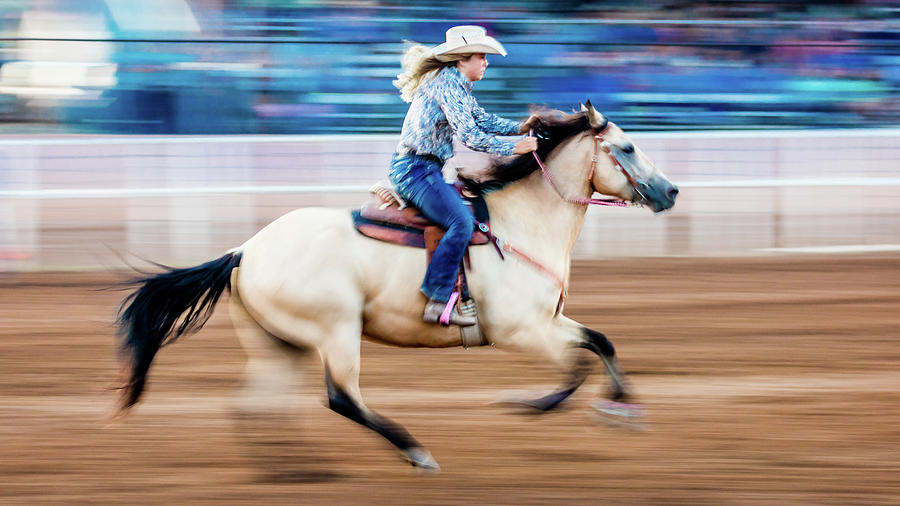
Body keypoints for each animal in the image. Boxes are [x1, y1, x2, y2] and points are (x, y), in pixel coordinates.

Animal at [118, 103, 684, 470]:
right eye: (628, 147)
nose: (671, 191)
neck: (520, 224)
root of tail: (244, 251)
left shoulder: (551, 321)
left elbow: (600, 343)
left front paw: (622, 409)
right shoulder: (520, 331)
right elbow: (574, 368)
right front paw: (529, 405)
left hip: (279, 344)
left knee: (254, 406)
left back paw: (294, 470)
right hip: (336, 332)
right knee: (341, 398)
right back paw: (415, 451)